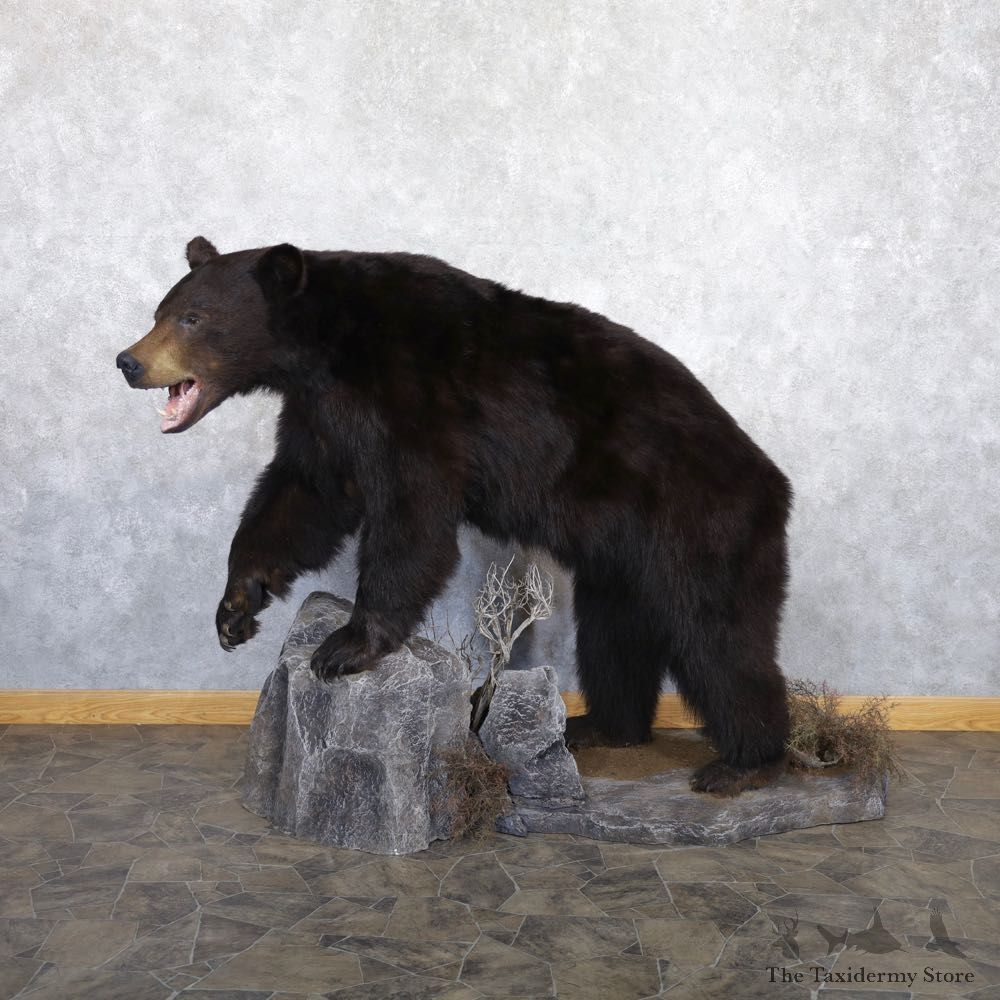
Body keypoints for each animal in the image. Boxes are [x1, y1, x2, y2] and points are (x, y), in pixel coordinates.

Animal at [117, 236, 793, 795]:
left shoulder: (413, 401)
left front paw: (346, 646)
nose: (128, 361)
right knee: (614, 634)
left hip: (698, 523)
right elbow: (303, 496)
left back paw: (745, 761)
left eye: (193, 318)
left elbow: (411, 517)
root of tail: (772, 479)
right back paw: (602, 725)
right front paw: (235, 607)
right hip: (620, 558)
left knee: (718, 636)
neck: (327, 347)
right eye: (160, 312)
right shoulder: (322, 415)